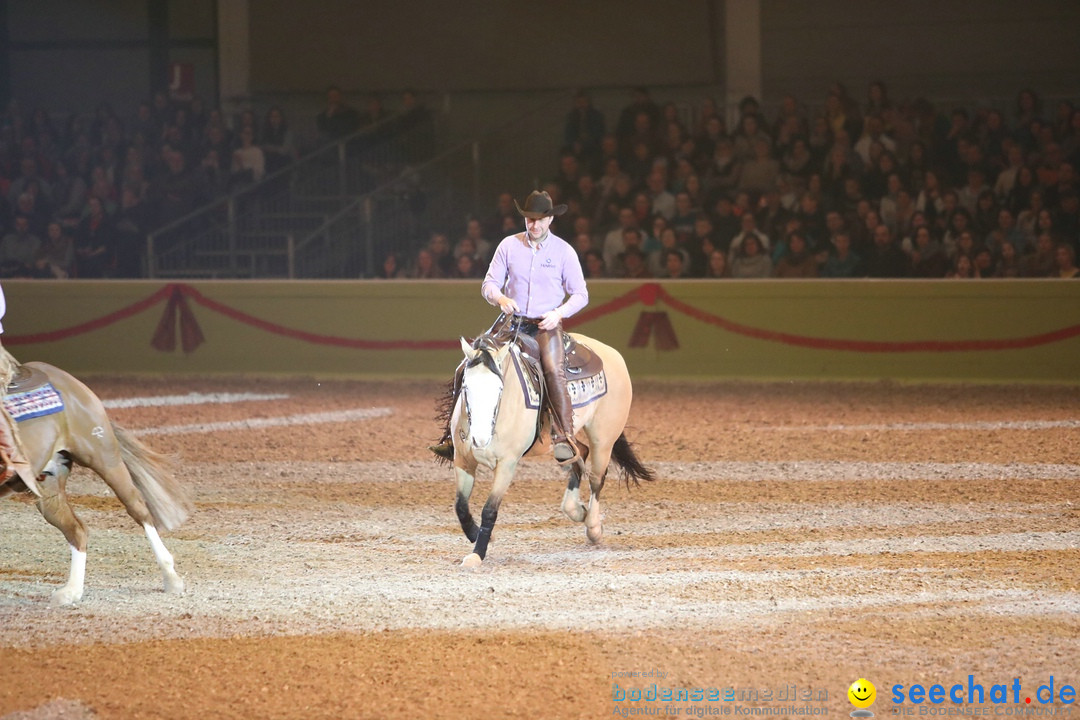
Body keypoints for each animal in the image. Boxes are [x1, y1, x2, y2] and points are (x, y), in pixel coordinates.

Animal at [1, 362, 191, 604]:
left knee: (139, 509)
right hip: (49, 485)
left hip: (105, 459)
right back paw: (71, 591)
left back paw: (171, 578)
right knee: (77, 529)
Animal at [444, 325, 652, 569]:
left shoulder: (507, 464)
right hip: (567, 441)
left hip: (603, 439)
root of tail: (613, 354)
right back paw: (576, 510)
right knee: (578, 454)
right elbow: (460, 506)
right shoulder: (463, 460)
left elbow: (489, 510)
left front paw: (478, 553)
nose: (480, 439)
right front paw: (477, 535)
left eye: (499, 388)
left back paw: (593, 527)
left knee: (596, 478)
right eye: (465, 386)